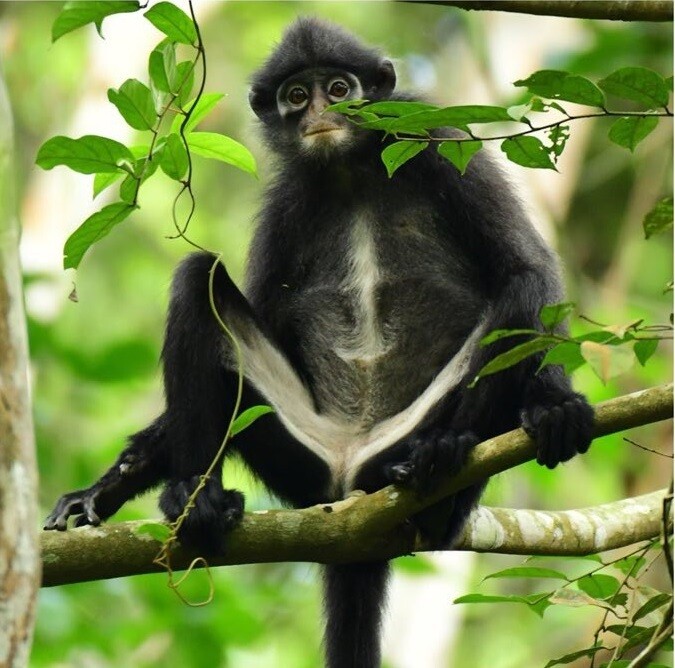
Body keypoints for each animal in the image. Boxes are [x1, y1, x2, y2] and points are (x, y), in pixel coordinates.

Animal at [45, 18, 596, 664]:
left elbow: (527, 271)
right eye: (296, 96)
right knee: (196, 277)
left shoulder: (437, 140)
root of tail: (351, 494)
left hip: (398, 441)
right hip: (298, 457)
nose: (319, 115)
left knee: (521, 289)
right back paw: (197, 503)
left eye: (338, 88)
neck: (351, 172)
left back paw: (441, 462)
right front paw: (103, 489)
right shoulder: (288, 199)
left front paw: (555, 404)